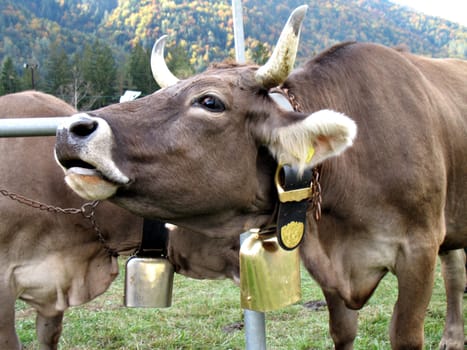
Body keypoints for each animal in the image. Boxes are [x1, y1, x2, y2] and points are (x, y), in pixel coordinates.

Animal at [53, 5, 466, 350]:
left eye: (210, 102)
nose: (70, 130)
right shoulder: (326, 265)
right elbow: (343, 331)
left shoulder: (419, 248)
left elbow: (405, 335)